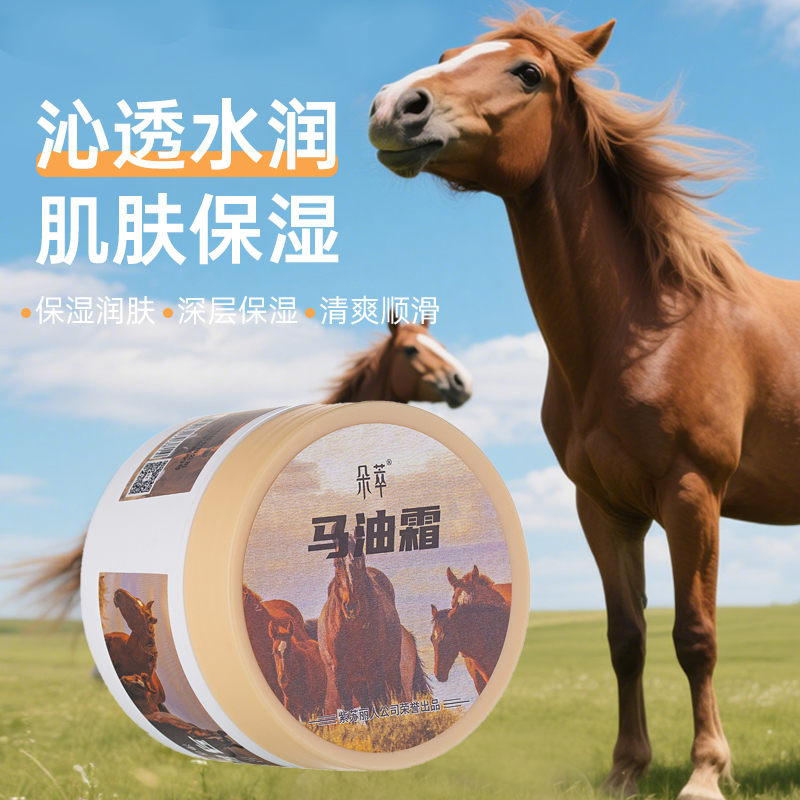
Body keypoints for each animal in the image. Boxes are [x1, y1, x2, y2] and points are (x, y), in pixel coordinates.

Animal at [317, 534, 404, 713]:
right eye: (336, 564)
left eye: (360, 559)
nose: (351, 607)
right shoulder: (342, 677)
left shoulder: (375, 669)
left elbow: (381, 703)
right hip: (358, 681)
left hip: (391, 666)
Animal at [368, 9, 800, 799]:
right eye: (448, 53)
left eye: (528, 73)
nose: (394, 108)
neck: (647, 329)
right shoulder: (602, 507)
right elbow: (625, 637)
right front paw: (628, 768)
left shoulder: (692, 496)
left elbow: (696, 635)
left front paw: (705, 771)